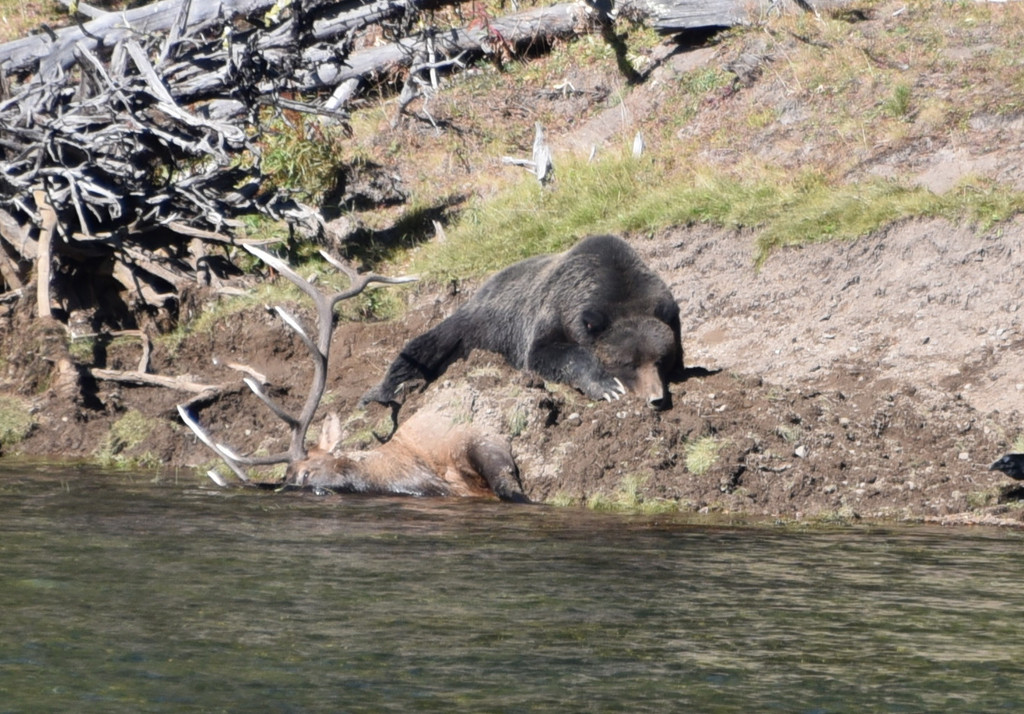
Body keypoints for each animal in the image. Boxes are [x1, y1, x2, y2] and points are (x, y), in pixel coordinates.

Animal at [361, 234, 684, 410]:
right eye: (628, 363)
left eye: (661, 359)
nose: (656, 398)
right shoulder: (551, 313)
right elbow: (546, 353)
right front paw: (607, 386)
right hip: (470, 328)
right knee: (422, 349)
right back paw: (383, 392)